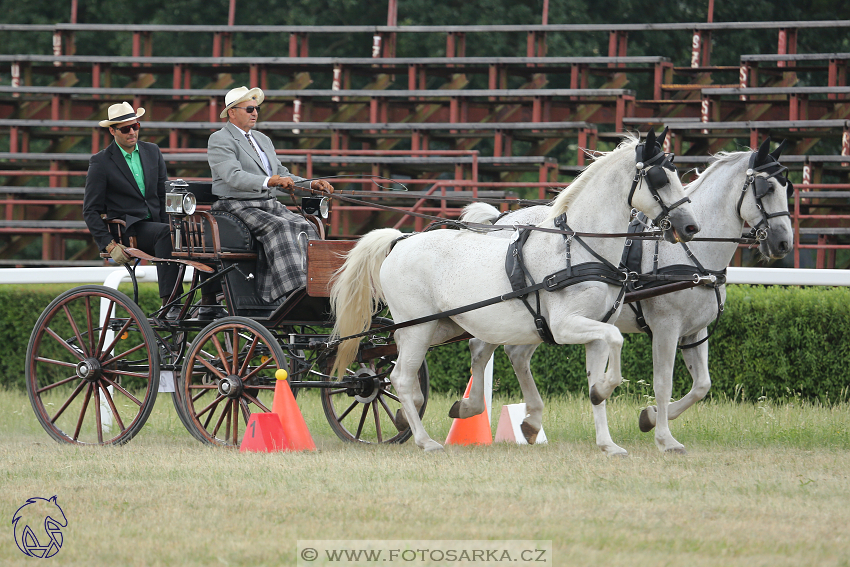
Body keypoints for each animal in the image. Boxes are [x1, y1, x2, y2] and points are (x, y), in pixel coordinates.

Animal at [332, 130, 704, 452]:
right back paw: (425, 441)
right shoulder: (565, 326)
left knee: (416, 367)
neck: (579, 249)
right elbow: (616, 341)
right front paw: (607, 394)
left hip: (440, 326)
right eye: (660, 179)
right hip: (417, 328)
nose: (690, 226)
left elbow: (599, 374)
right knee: (401, 378)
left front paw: (607, 441)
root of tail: (400, 240)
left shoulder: (596, 327)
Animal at [460, 136, 792, 452]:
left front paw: (650, 417)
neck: (692, 253)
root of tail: (503, 219)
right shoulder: (666, 327)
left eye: (787, 188)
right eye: (766, 187)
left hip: (538, 319)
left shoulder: (694, 331)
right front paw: (665, 438)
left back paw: (528, 421)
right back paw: (473, 406)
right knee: (482, 347)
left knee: (514, 353)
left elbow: (702, 385)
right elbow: (663, 383)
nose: (784, 243)